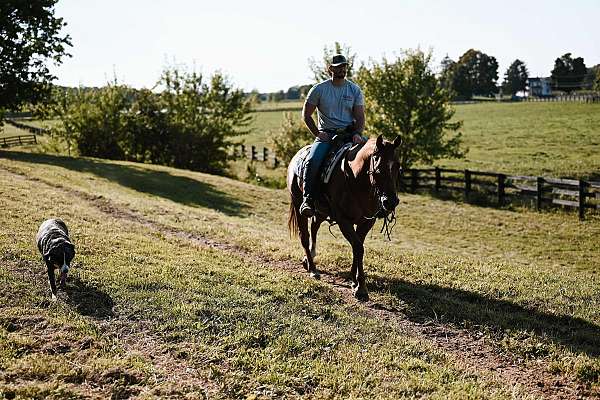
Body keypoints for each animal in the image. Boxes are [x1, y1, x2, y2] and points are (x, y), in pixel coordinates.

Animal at [288, 134, 400, 300]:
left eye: (398, 167)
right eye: (379, 168)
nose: (391, 202)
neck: (356, 179)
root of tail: (297, 155)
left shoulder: (366, 221)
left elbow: (358, 246)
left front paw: (354, 279)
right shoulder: (343, 221)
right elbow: (358, 247)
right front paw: (361, 288)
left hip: (321, 211)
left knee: (314, 226)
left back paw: (309, 259)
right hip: (298, 204)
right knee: (305, 236)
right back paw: (313, 269)